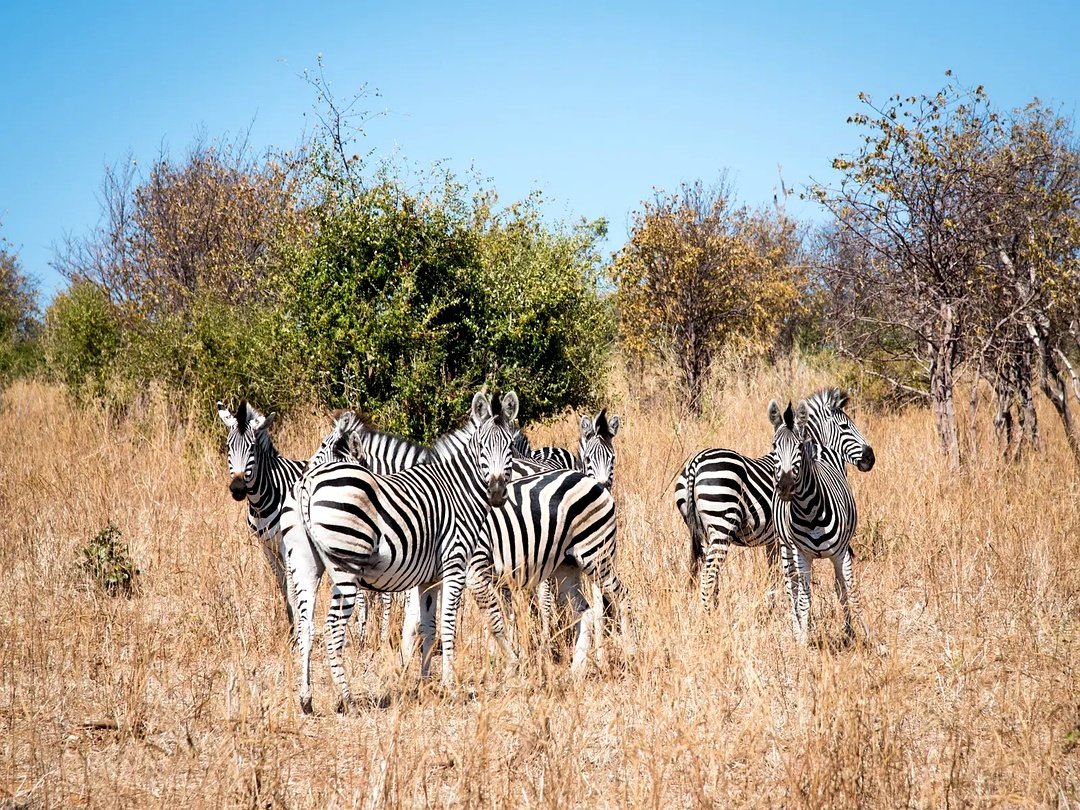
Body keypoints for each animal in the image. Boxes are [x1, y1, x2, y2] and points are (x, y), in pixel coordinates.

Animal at [284, 391, 518, 712]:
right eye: (482, 448)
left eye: (510, 447)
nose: (496, 493)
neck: (459, 490)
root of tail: (308, 482)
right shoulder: (457, 565)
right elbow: (449, 624)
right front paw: (451, 686)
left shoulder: (430, 578)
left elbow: (427, 627)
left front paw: (424, 684)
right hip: (346, 566)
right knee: (332, 628)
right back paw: (346, 699)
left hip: (307, 565)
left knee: (306, 626)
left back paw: (306, 698)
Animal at [675, 387, 872, 609]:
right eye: (845, 426)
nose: (870, 458)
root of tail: (695, 462)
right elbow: (791, 576)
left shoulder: (774, 540)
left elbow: (773, 573)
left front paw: (771, 606)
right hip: (721, 525)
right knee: (708, 575)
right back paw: (710, 615)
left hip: (701, 531)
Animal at [768, 392, 875, 645]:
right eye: (775, 446)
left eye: (799, 446)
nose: (870, 457)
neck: (808, 509)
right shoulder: (803, 556)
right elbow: (805, 598)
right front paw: (803, 640)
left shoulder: (842, 553)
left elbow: (848, 591)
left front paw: (863, 636)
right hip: (786, 548)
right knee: (791, 588)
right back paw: (796, 628)